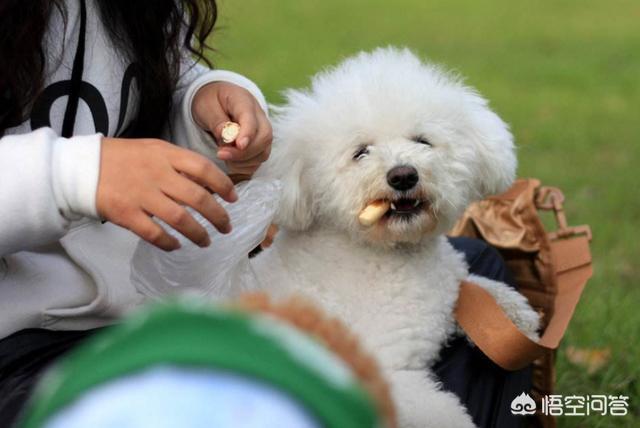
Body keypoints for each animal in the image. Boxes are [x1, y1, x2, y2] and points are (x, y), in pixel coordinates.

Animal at [252, 48, 544, 426]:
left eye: (422, 141)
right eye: (361, 152)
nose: (403, 175)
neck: (394, 254)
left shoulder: (449, 292)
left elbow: (478, 288)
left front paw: (516, 314)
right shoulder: (384, 373)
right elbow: (441, 413)